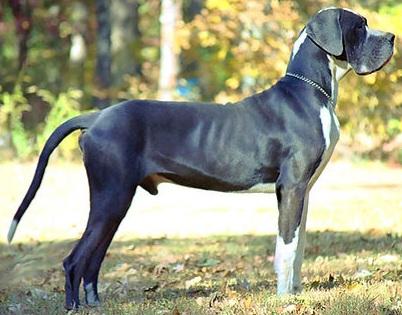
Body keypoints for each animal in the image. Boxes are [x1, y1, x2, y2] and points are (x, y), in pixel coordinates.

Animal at [7, 8, 394, 312]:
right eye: (360, 26)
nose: (392, 36)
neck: (311, 90)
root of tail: (98, 116)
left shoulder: (304, 192)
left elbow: (297, 247)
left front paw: (295, 293)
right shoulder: (293, 187)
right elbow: (286, 248)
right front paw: (285, 300)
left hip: (114, 204)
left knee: (92, 259)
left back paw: (95, 305)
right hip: (111, 196)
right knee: (74, 260)